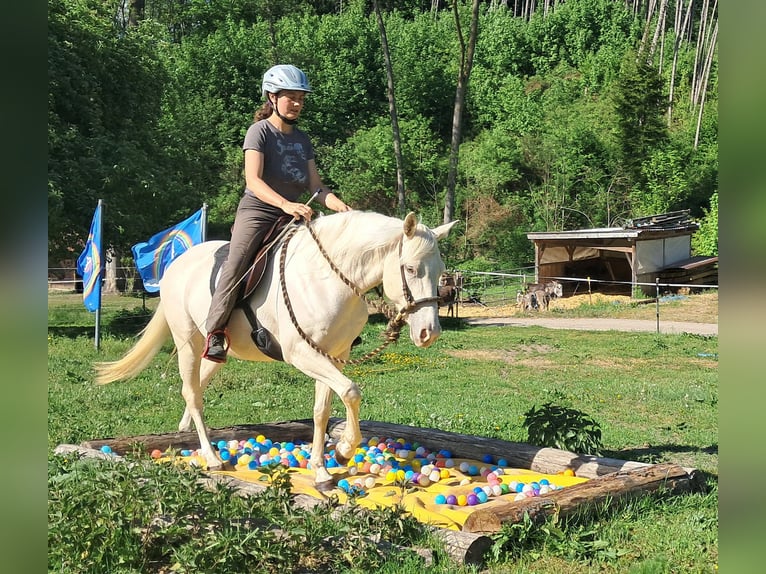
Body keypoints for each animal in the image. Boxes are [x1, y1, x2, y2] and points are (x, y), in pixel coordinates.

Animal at [94, 211, 458, 491]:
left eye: (441, 272)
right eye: (410, 269)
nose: (429, 333)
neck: (329, 279)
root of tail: (176, 265)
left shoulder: (331, 355)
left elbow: (323, 410)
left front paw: (322, 470)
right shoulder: (302, 354)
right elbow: (352, 392)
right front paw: (343, 451)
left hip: (216, 350)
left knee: (196, 386)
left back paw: (186, 435)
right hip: (189, 341)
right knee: (193, 393)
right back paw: (211, 457)